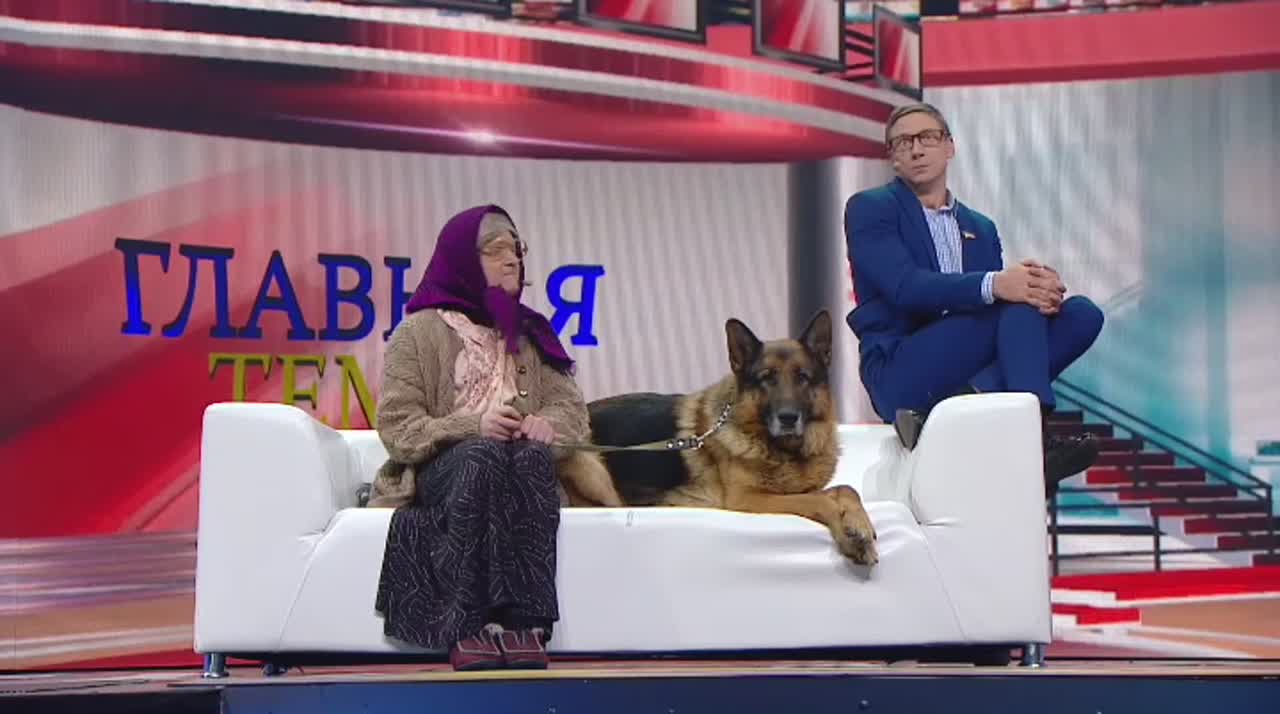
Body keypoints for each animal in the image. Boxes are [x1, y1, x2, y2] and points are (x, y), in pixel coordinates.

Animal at [556, 310, 878, 566]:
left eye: (802, 377)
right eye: (767, 378)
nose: (788, 418)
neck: (784, 451)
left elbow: (846, 489)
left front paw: (859, 523)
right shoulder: (749, 499)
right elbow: (819, 499)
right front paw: (849, 531)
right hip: (594, 470)